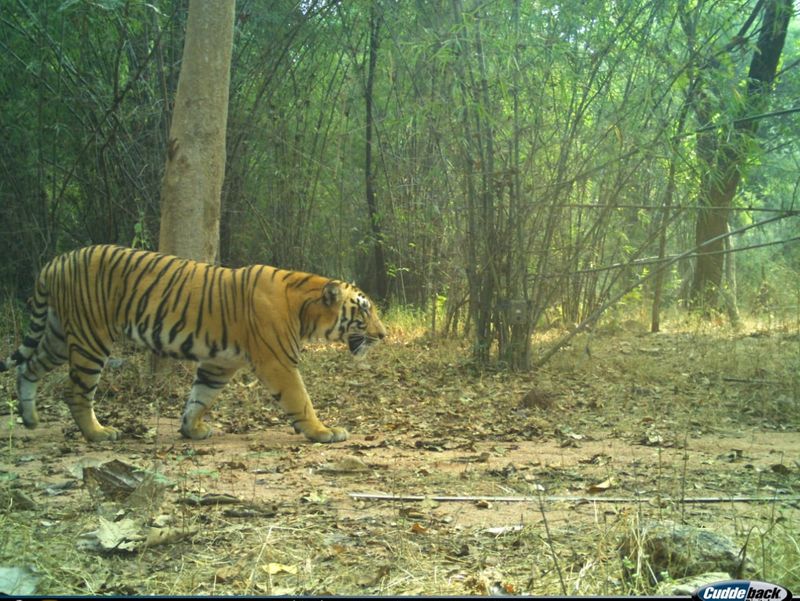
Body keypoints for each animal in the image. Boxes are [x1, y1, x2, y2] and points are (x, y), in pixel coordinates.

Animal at [0, 241, 388, 442]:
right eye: (364, 310)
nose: (383, 335)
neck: (304, 309)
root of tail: (57, 260)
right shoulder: (277, 362)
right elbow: (301, 400)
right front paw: (324, 431)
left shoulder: (220, 362)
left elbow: (200, 397)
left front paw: (192, 429)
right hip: (91, 337)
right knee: (75, 391)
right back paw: (98, 433)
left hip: (58, 335)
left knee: (29, 367)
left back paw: (30, 418)